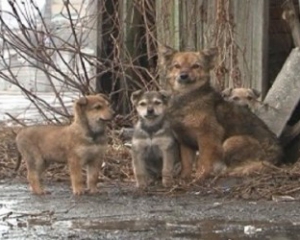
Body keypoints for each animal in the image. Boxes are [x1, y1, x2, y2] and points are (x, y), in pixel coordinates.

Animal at [161, 45, 282, 180]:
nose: (183, 76)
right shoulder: (184, 140)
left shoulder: (208, 136)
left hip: (230, 142)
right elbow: (186, 162)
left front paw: (200, 176)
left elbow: (204, 160)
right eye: (177, 66)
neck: (187, 97)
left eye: (196, 66)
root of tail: (272, 159)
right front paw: (185, 178)